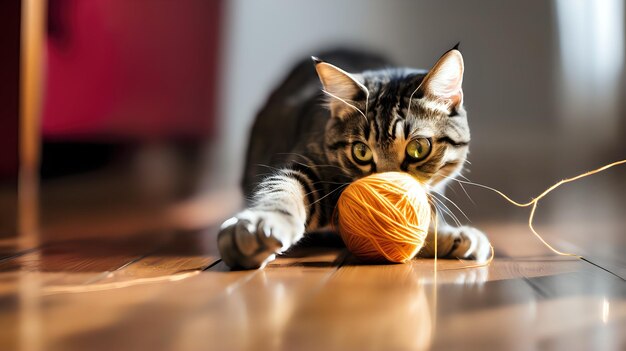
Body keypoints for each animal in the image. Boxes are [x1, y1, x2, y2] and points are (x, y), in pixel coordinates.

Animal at [217, 44, 490, 270]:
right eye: (361, 152)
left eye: (418, 148)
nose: (388, 190)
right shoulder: (308, 166)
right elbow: (283, 189)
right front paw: (259, 226)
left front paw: (449, 237)